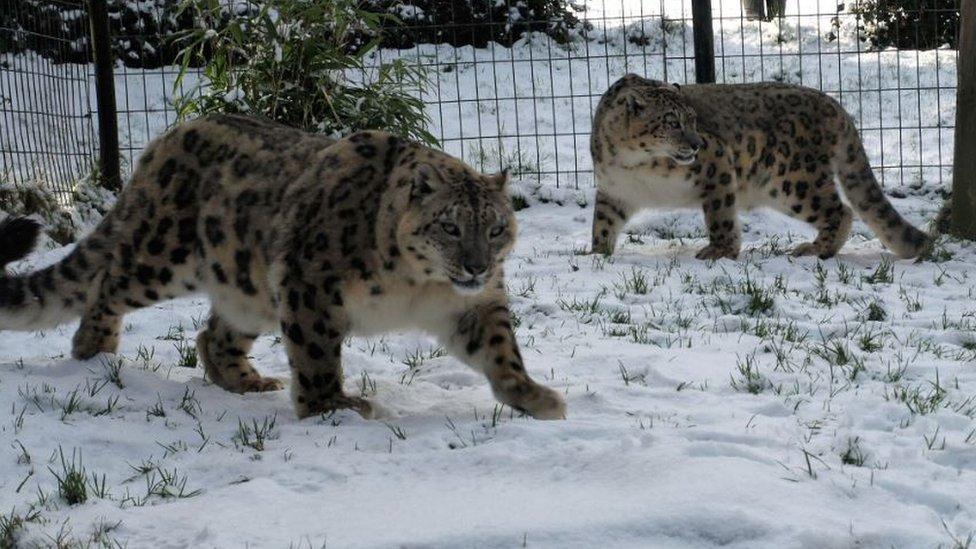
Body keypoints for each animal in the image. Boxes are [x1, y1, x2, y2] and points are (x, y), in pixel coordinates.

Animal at [1, 113, 564, 418]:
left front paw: (532, 396)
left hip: (247, 288)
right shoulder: (311, 283)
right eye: (450, 226)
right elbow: (316, 352)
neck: (417, 285)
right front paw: (332, 408)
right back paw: (95, 353)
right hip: (161, 257)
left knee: (213, 335)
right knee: (108, 285)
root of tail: (165, 140)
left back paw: (248, 382)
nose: (476, 266)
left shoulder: (474, 305)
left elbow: (499, 348)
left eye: (496, 228)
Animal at [588, 73, 932, 260]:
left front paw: (720, 251)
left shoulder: (717, 164)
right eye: (672, 121)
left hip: (793, 181)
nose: (696, 144)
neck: (634, 164)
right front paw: (597, 253)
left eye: (694, 119)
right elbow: (602, 223)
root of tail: (834, 104)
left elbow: (720, 215)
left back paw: (815, 249)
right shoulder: (614, 190)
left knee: (841, 210)